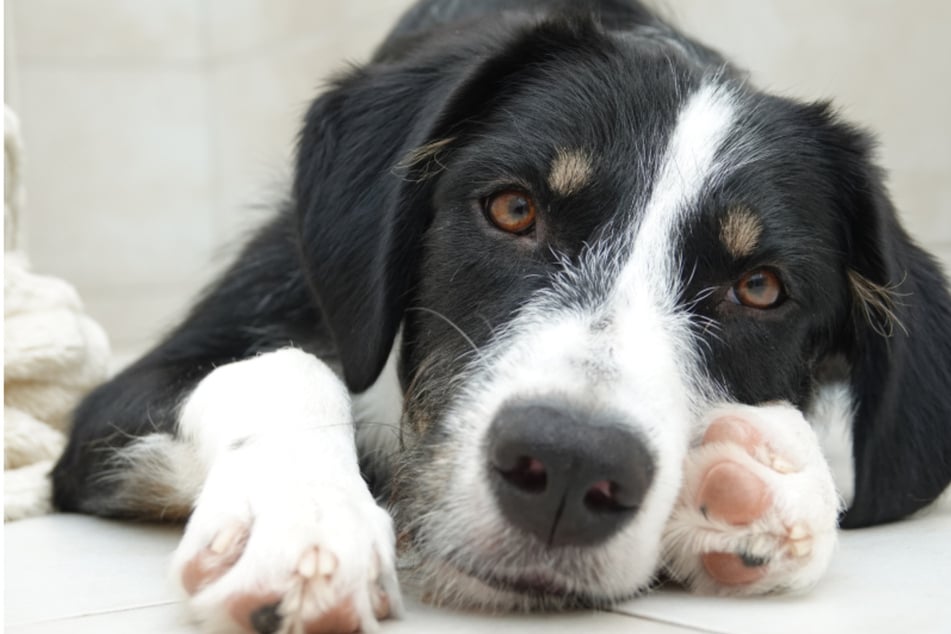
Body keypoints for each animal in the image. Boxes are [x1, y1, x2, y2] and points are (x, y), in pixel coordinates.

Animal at [52, 0, 951, 628]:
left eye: (759, 288)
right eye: (513, 209)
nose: (569, 467)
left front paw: (757, 480)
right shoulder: (128, 394)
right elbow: (280, 366)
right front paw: (304, 523)